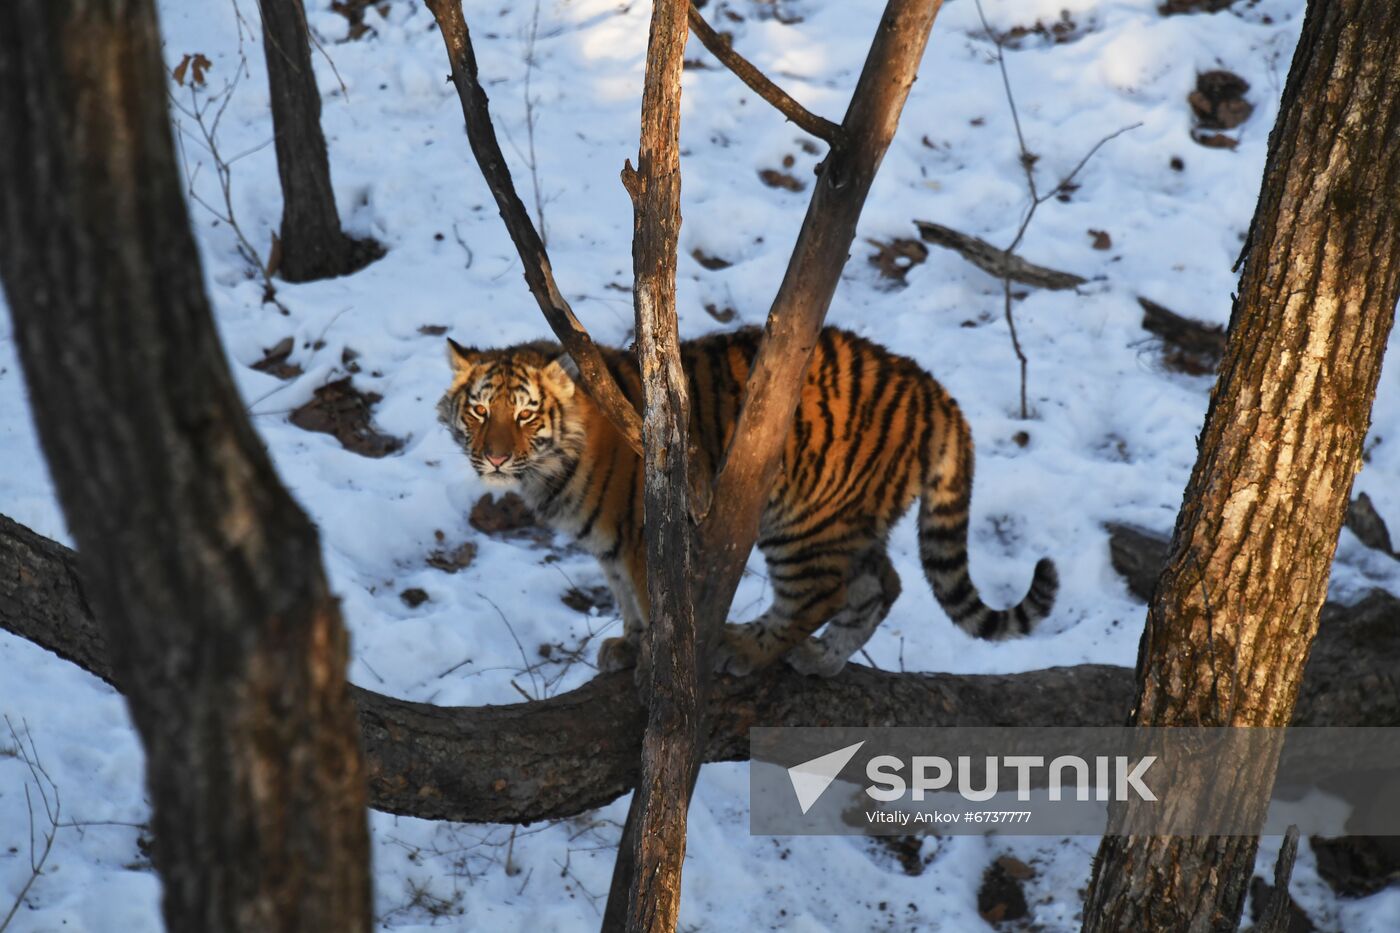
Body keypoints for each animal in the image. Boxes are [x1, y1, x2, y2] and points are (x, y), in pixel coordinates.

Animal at [434, 326, 1052, 675]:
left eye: (526, 414)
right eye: (480, 410)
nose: (493, 458)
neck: (550, 470)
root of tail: (931, 388)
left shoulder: (644, 537)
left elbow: (652, 605)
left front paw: (651, 662)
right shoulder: (610, 548)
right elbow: (626, 602)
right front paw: (628, 646)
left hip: (804, 521)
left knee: (819, 595)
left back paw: (747, 651)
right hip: (851, 519)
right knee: (884, 584)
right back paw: (822, 660)